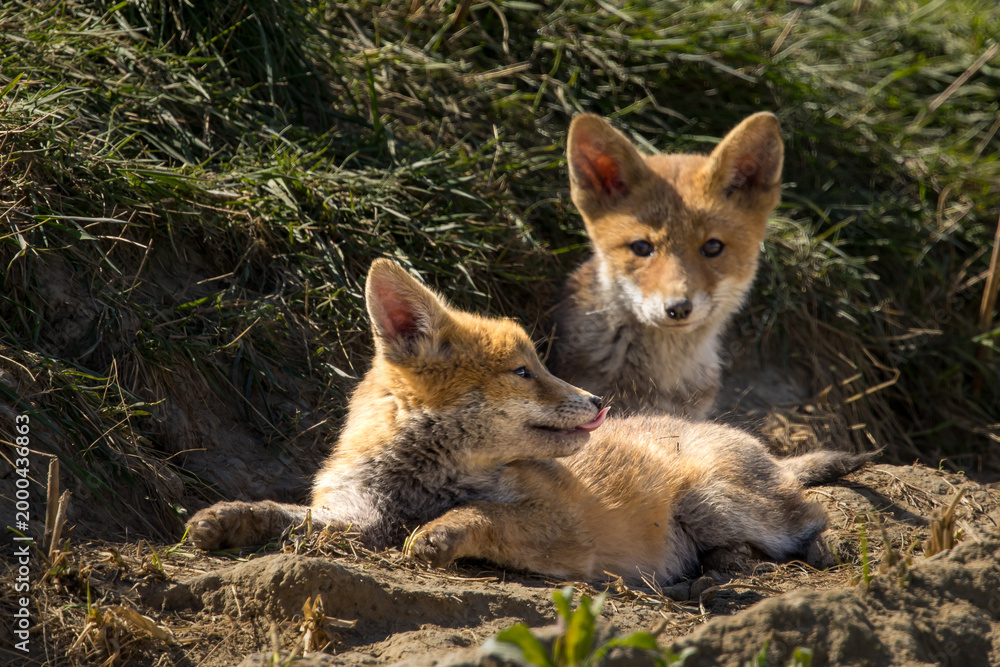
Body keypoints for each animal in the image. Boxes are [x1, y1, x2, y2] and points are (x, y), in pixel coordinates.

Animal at [187, 259, 869, 583]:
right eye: (523, 371)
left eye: (541, 363)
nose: (598, 402)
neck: (419, 487)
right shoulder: (354, 518)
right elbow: (283, 514)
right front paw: (227, 518)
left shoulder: (566, 529)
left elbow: (484, 516)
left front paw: (446, 530)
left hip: (715, 502)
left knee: (810, 514)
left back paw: (822, 545)